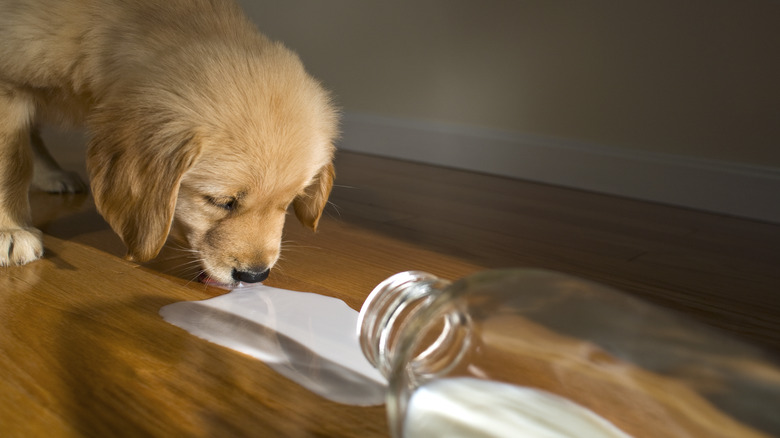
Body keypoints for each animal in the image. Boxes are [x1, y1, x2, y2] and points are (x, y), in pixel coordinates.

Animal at [0, 0, 336, 286]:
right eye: (221, 202)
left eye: (289, 203)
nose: (255, 276)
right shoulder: (10, 79)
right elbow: (11, 161)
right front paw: (10, 229)